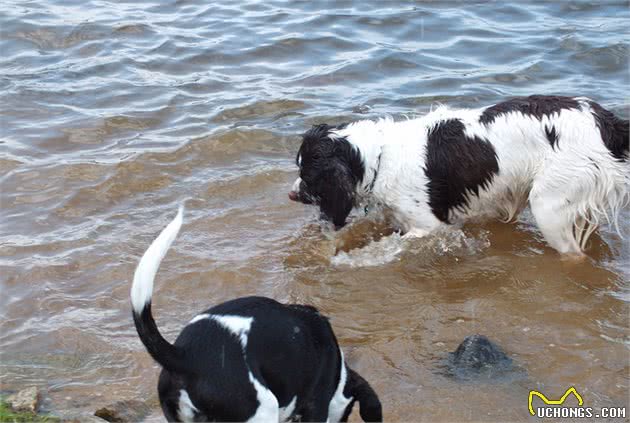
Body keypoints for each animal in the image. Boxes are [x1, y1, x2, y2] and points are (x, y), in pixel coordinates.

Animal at [288, 95, 628, 256]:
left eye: (307, 173)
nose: (291, 194)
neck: (379, 157)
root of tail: (605, 121)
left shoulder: (430, 226)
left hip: (549, 207)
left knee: (574, 254)